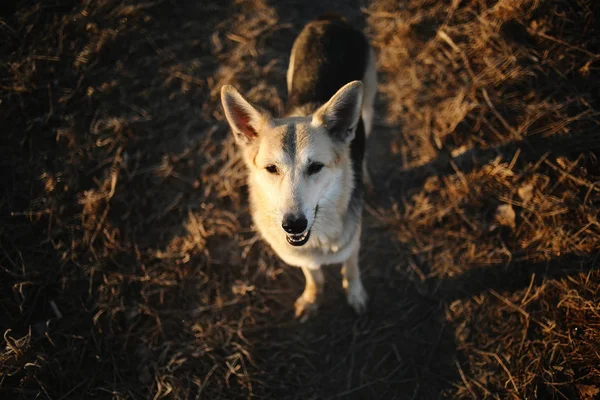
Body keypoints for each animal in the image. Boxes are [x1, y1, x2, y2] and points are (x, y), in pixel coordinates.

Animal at [223, 15, 378, 322]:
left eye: (316, 167)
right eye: (271, 169)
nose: (293, 224)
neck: (318, 239)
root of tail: (331, 19)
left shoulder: (353, 243)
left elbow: (351, 270)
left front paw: (355, 295)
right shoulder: (301, 255)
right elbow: (313, 276)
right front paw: (311, 298)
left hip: (367, 106)